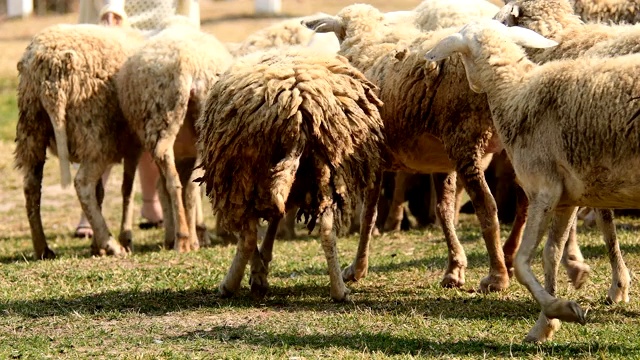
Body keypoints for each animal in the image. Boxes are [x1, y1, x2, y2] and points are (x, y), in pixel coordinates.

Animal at [14, 21, 145, 258]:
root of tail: (51, 70)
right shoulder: (133, 145)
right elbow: (127, 189)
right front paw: (124, 238)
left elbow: (101, 192)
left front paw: (96, 246)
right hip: (96, 134)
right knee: (82, 183)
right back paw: (111, 244)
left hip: (32, 128)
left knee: (31, 186)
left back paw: (42, 248)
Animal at [116, 16, 234, 253]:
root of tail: (186, 67)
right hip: (184, 128)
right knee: (186, 186)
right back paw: (187, 238)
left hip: (161, 123)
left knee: (174, 184)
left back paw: (182, 237)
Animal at [195, 47, 384, 300]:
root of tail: (299, 109)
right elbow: (276, 217)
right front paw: (261, 267)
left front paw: (258, 272)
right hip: (328, 171)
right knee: (326, 230)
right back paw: (339, 291)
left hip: (240, 173)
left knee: (248, 235)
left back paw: (229, 285)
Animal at [424, 19, 640, 344]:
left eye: (461, 57)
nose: (473, 86)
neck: (517, 92)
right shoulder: (566, 199)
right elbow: (551, 255)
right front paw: (545, 325)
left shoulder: (543, 190)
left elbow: (522, 262)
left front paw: (563, 310)